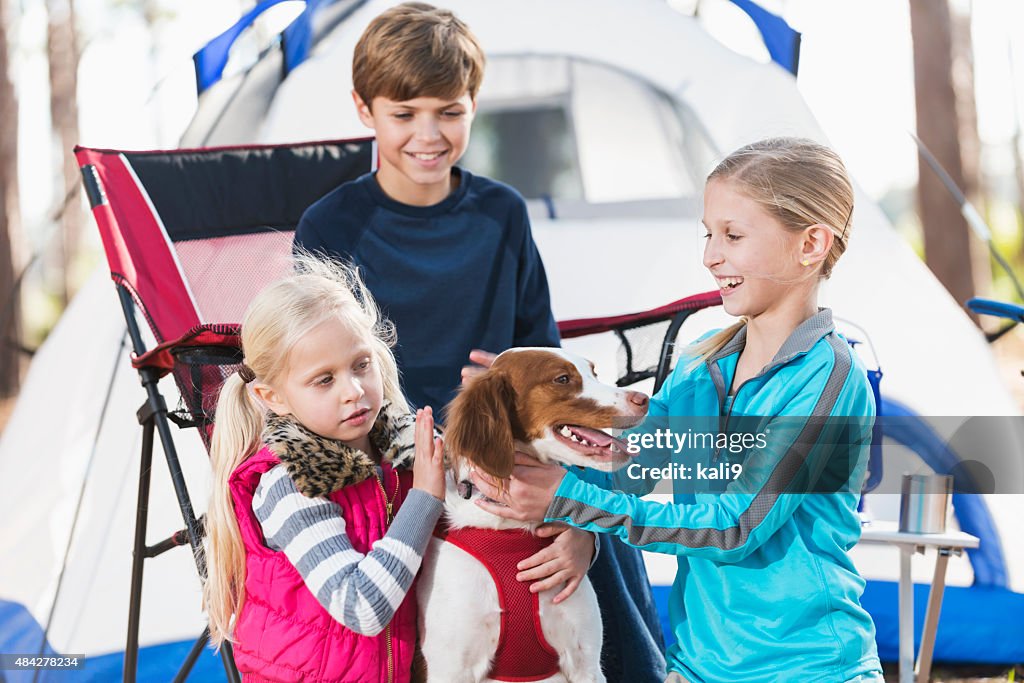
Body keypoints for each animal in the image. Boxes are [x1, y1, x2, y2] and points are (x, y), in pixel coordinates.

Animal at [415, 350, 647, 679]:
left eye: (594, 372)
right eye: (562, 378)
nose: (643, 399)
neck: (511, 527)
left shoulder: (586, 664)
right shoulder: (449, 670)